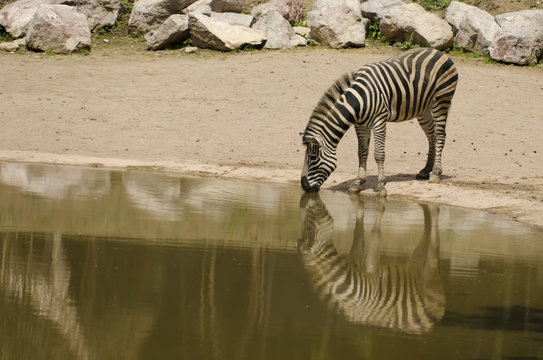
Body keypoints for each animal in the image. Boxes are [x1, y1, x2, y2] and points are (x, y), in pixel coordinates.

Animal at [298, 194, 446, 334]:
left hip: (431, 282)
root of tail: (430, 325)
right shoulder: (356, 257)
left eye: (309, 226)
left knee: (434, 243)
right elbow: (358, 232)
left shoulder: (373, 274)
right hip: (415, 266)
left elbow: (374, 235)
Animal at [302, 47, 460, 195]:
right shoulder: (360, 125)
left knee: (440, 134)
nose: (304, 186)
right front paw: (358, 183)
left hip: (441, 100)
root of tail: (437, 51)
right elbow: (362, 153)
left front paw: (381, 186)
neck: (359, 100)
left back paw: (436, 173)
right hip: (423, 108)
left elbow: (379, 154)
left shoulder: (379, 120)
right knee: (431, 135)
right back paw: (426, 170)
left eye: (313, 158)